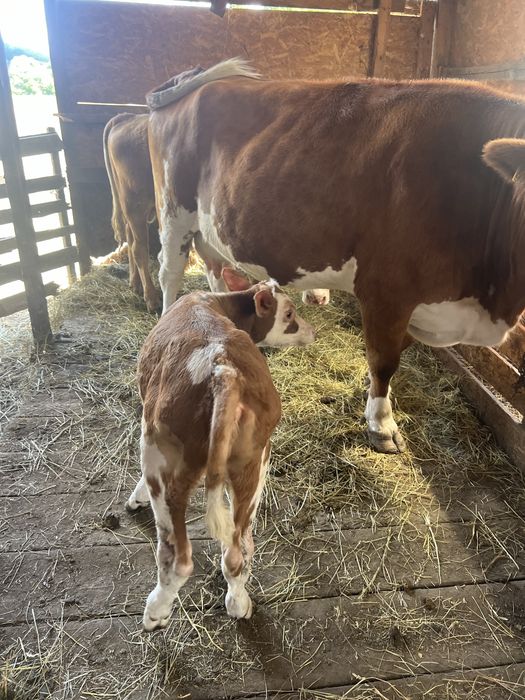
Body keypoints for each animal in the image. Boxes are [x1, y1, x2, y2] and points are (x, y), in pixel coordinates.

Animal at [126, 269, 315, 629]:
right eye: (288, 314)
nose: (311, 331)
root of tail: (223, 369)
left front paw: (135, 497)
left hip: (162, 456)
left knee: (177, 556)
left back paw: (155, 610)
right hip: (254, 463)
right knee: (236, 553)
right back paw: (239, 603)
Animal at [147, 58, 525, 454]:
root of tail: (192, 78)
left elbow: (396, 353)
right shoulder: (385, 291)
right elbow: (384, 360)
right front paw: (381, 424)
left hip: (208, 225)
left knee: (215, 269)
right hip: (173, 211)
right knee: (170, 273)